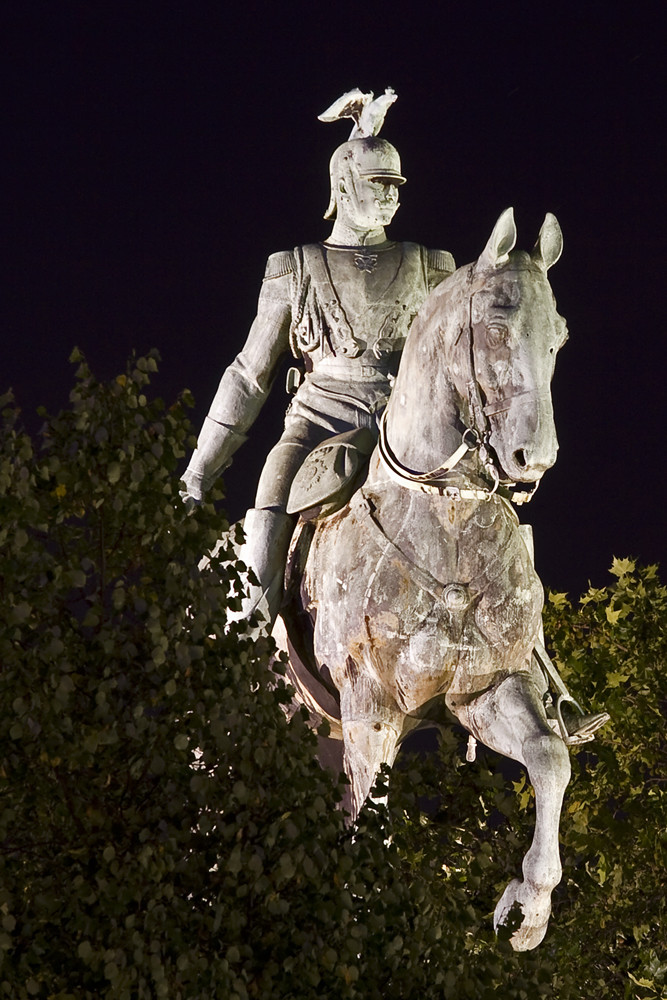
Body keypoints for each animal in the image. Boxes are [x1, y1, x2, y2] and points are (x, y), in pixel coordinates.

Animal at [272, 207, 580, 948]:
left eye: (558, 336)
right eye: (495, 321)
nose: (533, 458)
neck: (446, 519)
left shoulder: (486, 690)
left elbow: (550, 757)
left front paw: (527, 906)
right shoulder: (370, 707)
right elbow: (371, 814)